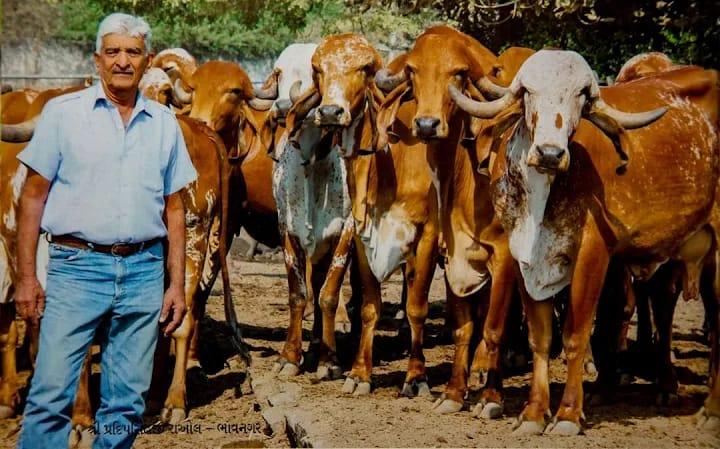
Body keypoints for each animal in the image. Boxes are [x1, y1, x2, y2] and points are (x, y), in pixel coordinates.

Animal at [456, 49, 716, 434]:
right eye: (529, 91)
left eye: (580, 94)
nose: (550, 153)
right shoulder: (526, 260)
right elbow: (541, 336)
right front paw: (534, 413)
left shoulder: (593, 254)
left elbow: (576, 335)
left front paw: (566, 414)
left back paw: (706, 407)